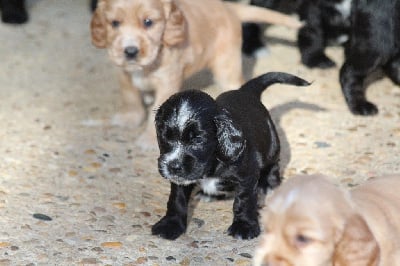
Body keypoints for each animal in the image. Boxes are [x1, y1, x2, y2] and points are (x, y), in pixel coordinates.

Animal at [90, 0, 300, 150]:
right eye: (114, 23)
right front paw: (129, 118)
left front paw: (148, 140)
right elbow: (129, 96)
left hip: (226, 65)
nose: (130, 51)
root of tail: (229, 7)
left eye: (148, 22)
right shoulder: (123, 72)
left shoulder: (167, 80)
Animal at [152, 71, 310, 240]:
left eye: (198, 139)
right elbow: (177, 199)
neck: (212, 162)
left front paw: (244, 226)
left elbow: (244, 200)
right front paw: (170, 225)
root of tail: (245, 91)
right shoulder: (181, 180)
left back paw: (269, 186)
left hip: (272, 144)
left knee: (274, 165)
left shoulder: (246, 176)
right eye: (165, 136)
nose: (173, 166)